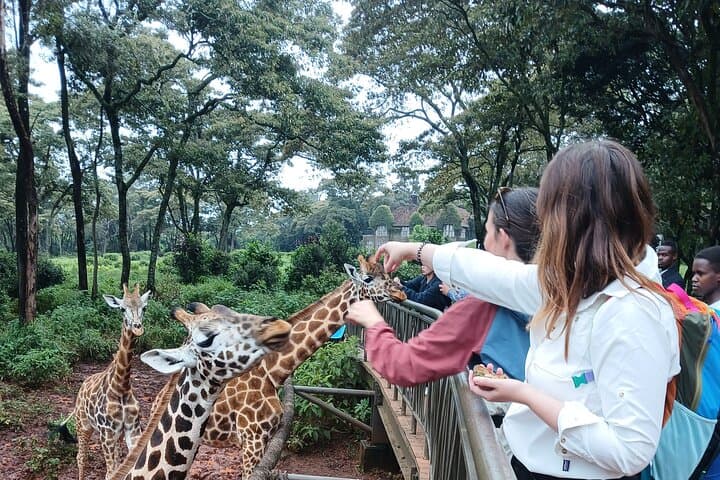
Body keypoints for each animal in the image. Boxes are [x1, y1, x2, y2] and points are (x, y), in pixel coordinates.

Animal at [66, 283, 151, 480]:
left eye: (144, 307)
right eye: (122, 308)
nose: (137, 327)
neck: (122, 386)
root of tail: (83, 384)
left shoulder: (132, 429)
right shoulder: (107, 432)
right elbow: (111, 473)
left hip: (114, 435)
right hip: (83, 425)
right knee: (81, 456)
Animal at [198, 254, 407, 478]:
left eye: (388, 274)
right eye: (368, 278)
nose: (400, 292)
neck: (270, 372)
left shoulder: (262, 438)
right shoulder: (252, 438)